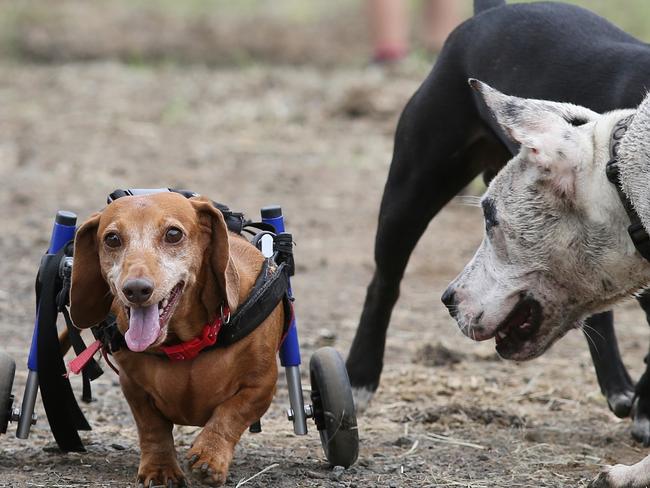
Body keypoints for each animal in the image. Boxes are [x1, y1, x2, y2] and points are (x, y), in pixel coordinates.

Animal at [350, 0, 650, 442]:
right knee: (383, 285)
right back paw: (358, 378)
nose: (449, 299)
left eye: (491, 217)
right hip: (411, 191)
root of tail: (493, 11)